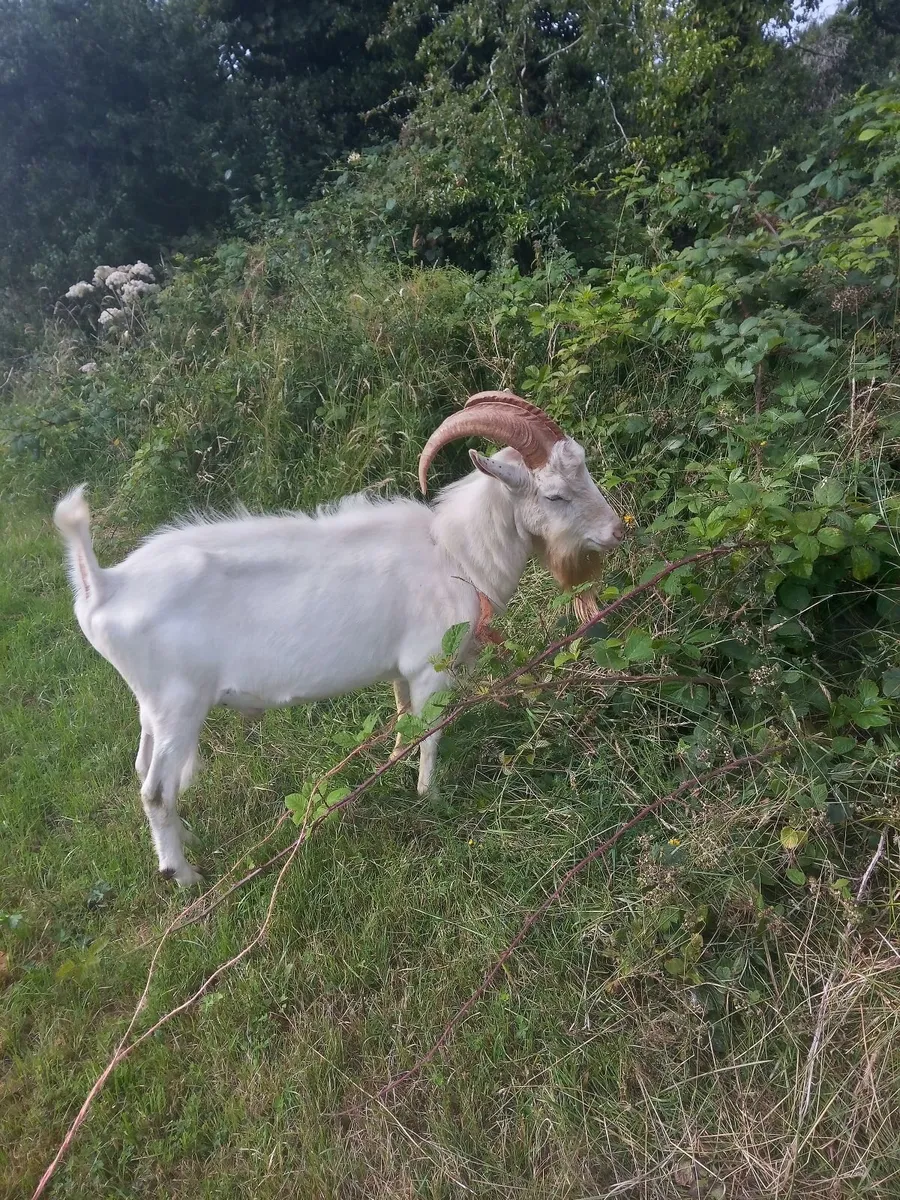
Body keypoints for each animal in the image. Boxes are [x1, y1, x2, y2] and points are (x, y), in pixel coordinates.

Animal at [54, 392, 624, 885]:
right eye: (554, 494)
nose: (618, 530)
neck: (455, 554)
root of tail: (104, 585)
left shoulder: (402, 671)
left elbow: (404, 720)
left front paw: (395, 767)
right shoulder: (429, 667)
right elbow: (431, 734)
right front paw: (430, 798)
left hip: (152, 704)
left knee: (146, 769)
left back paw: (188, 839)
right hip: (179, 703)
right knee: (154, 790)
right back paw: (185, 874)